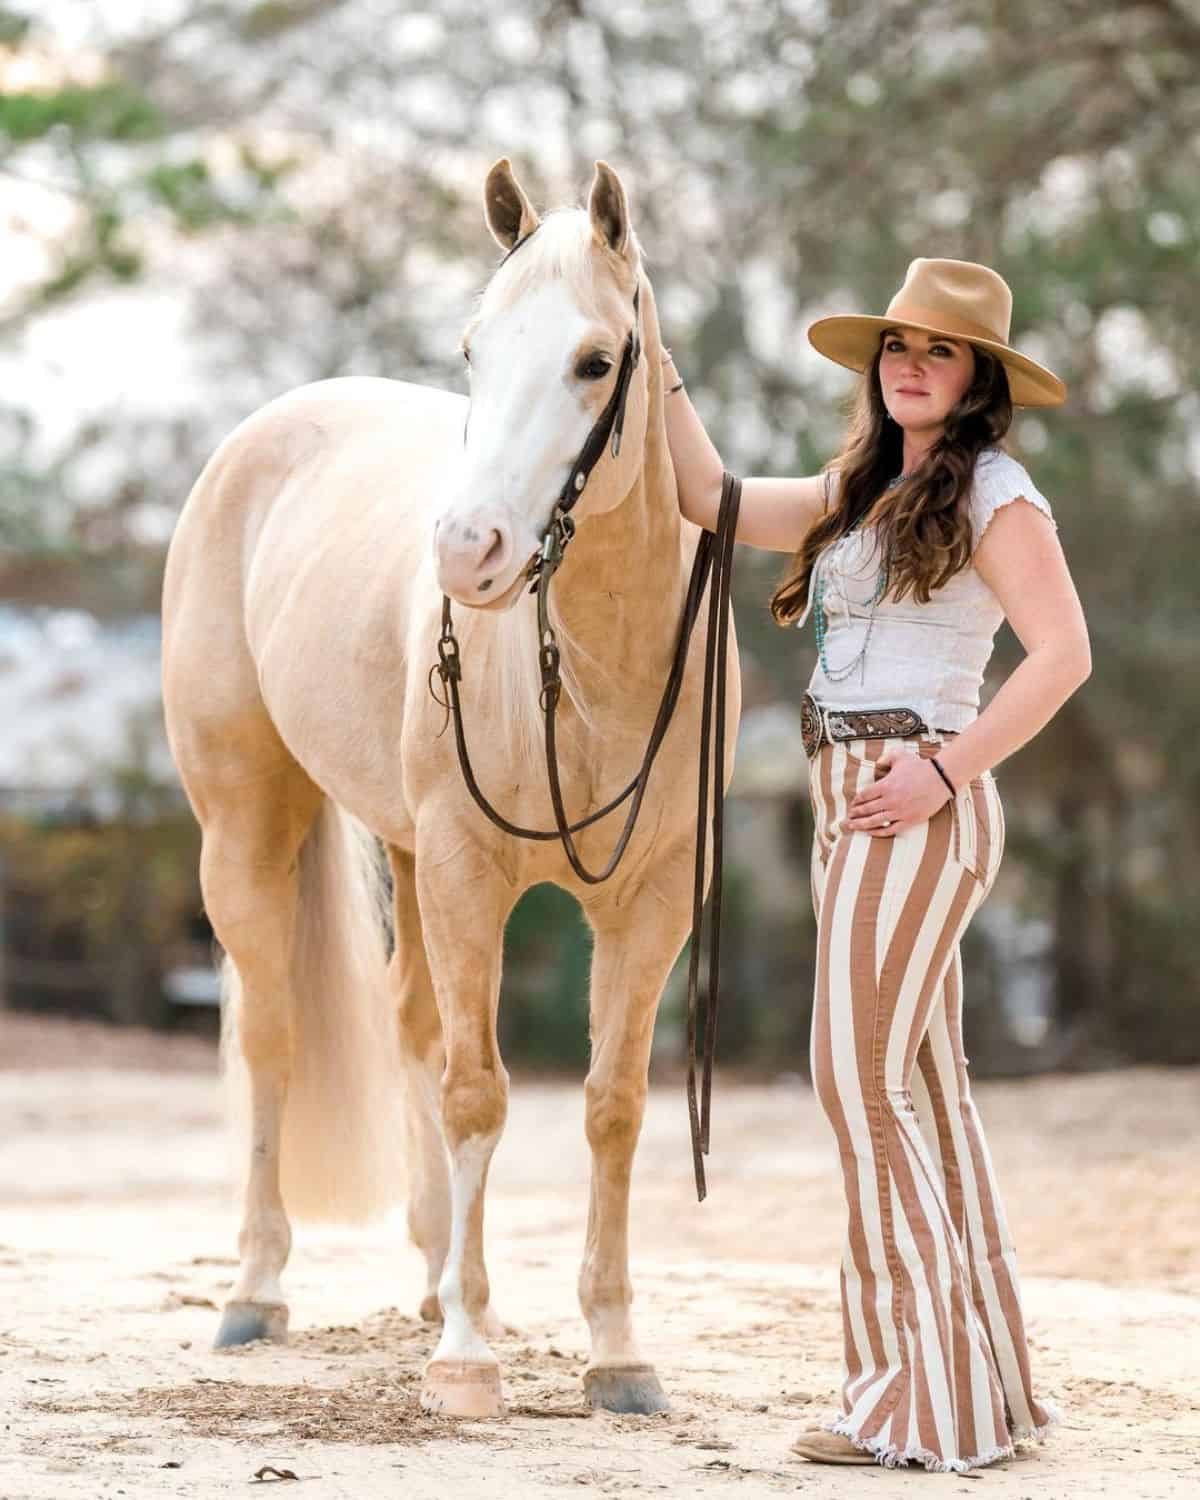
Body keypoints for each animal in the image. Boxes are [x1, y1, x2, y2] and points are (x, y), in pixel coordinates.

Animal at [162, 161, 741, 1416]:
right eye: (475, 349)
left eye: (594, 360)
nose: (466, 554)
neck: (595, 675)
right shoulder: (473, 875)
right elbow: (480, 1092)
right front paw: (470, 1358)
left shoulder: (649, 904)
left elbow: (612, 1105)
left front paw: (616, 1350)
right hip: (248, 834)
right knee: (276, 1039)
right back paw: (257, 1292)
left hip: (410, 855)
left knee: (412, 1028)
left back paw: (434, 1277)